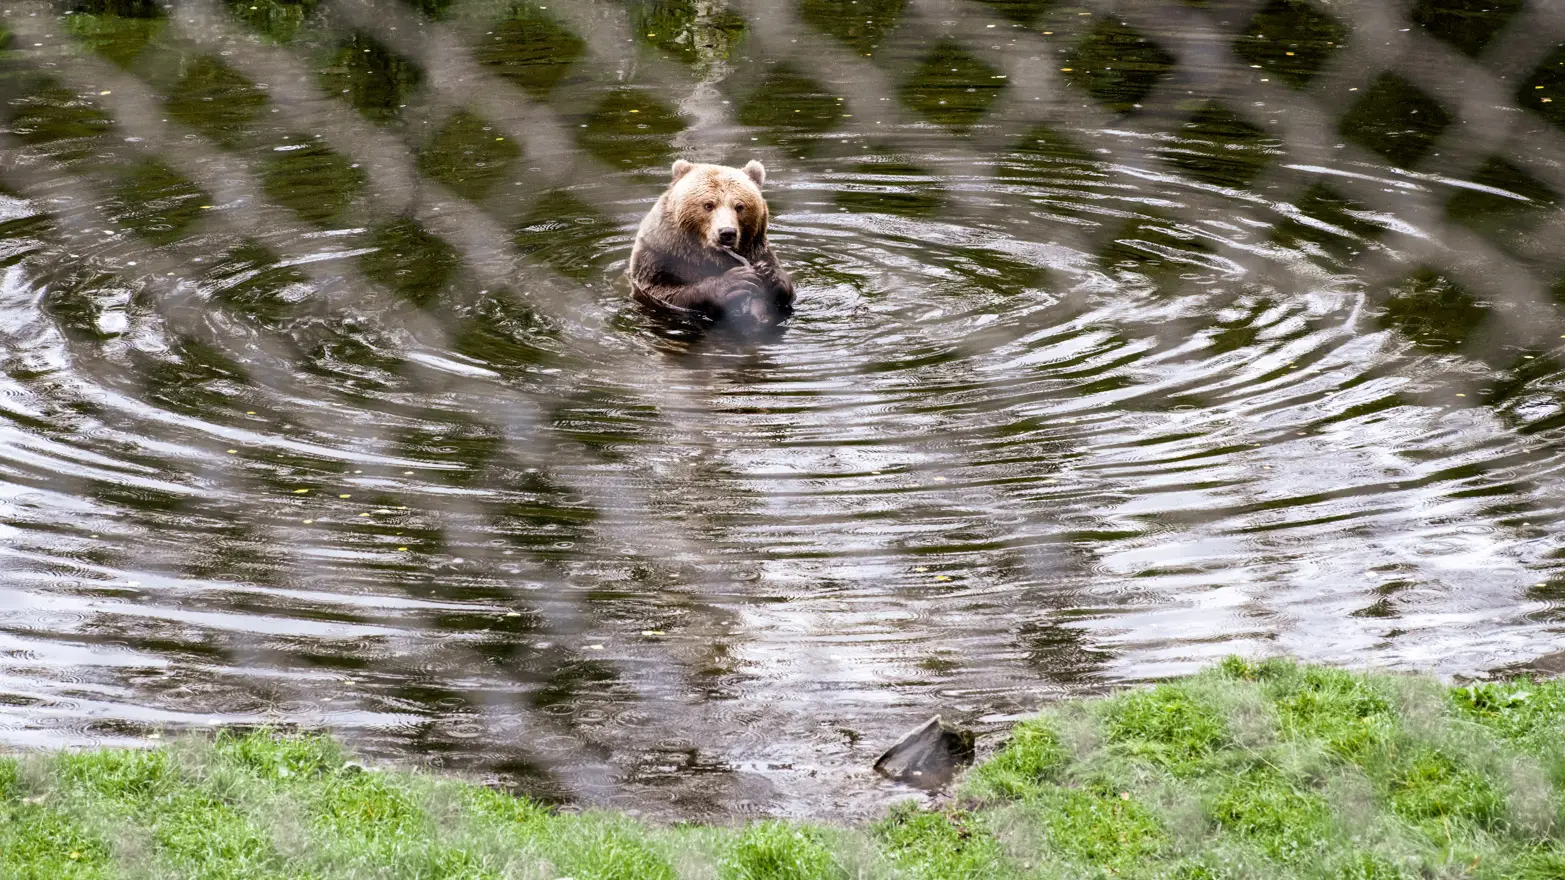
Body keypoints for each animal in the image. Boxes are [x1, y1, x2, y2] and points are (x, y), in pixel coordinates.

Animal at [626, 157, 795, 325]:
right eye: (708, 205)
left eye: (739, 206)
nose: (727, 233)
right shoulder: (658, 256)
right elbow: (665, 291)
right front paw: (734, 282)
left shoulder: (759, 252)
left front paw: (772, 275)